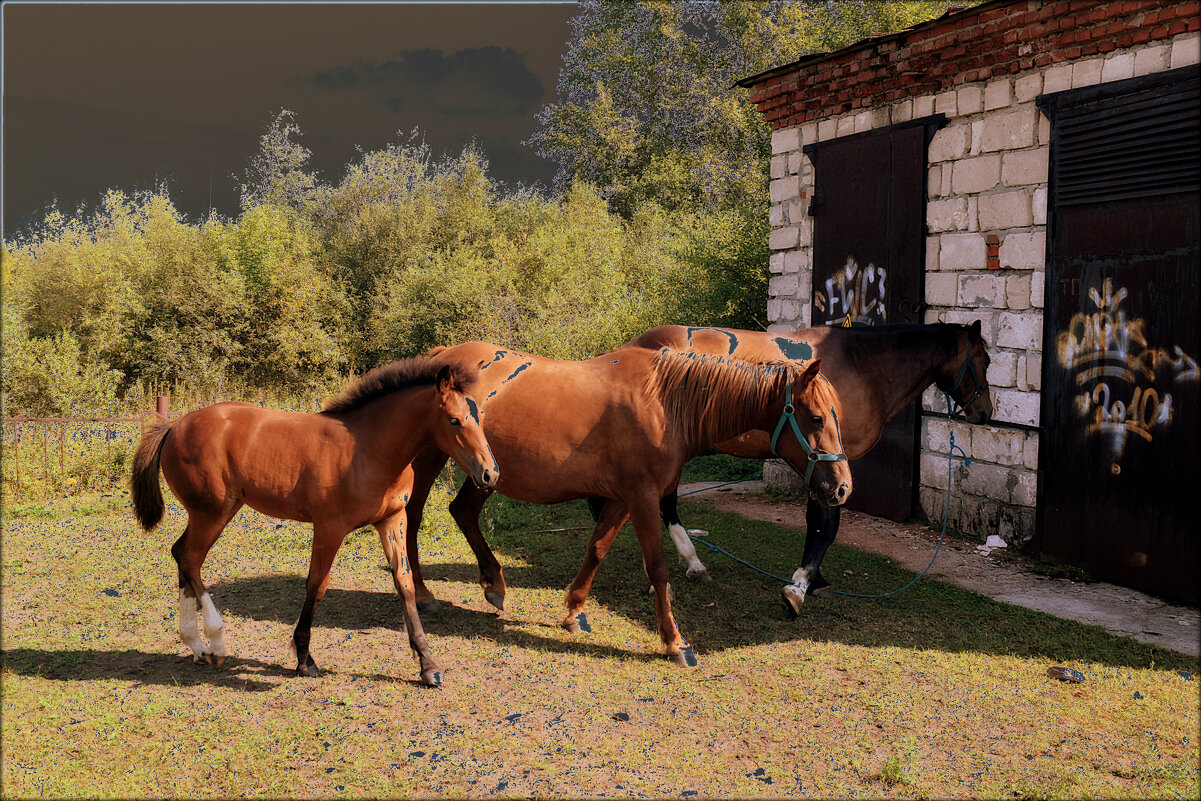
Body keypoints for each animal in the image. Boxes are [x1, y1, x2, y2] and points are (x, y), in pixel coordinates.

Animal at [133, 360, 499, 686]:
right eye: (454, 420)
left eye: (479, 417)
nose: (490, 474)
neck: (369, 449)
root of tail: (174, 427)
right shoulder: (329, 528)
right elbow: (316, 586)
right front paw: (304, 658)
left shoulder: (391, 520)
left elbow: (404, 584)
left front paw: (428, 666)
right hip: (212, 512)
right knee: (191, 558)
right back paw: (216, 643)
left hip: (213, 512)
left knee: (182, 555)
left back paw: (196, 646)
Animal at [389, 341, 850, 667]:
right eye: (814, 417)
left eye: (835, 415)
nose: (843, 488)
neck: (664, 404)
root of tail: (440, 356)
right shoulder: (643, 497)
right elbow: (658, 568)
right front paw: (675, 642)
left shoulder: (621, 499)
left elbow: (596, 549)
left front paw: (574, 612)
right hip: (431, 460)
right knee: (413, 518)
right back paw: (426, 593)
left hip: (485, 472)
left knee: (463, 512)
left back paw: (494, 584)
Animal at [624, 321, 989, 610]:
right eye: (984, 361)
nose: (985, 411)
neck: (864, 366)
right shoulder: (828, 464)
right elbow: (825, 524)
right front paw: (801, 584)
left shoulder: (829, 468)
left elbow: (820, 522)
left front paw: (815, 580)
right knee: (664, 503)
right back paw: (685, 566)